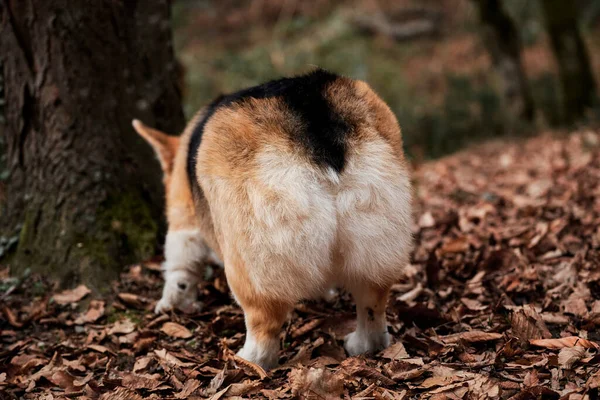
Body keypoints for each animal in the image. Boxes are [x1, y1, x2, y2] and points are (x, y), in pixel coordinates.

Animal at [132, 69, 412, 368]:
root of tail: (311, 116)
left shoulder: (185, 221)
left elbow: (180, 265)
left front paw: (171, 302)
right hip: (375, 246)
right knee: (372, 306)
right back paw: (363, 344)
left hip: (251, 265)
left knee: (263, 326)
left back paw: (246, 361)